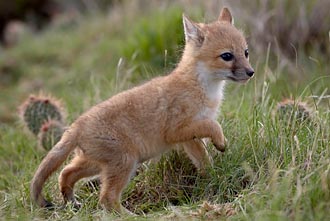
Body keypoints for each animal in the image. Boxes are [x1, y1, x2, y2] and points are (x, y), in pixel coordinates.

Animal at [30, 7, 253, 214]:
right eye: (227, 56)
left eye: (246, 52)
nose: (251, 72)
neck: (201, 86)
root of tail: (76, 126)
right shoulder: (177, 130)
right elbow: (214, 126)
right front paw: (221, 143)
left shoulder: (188, 138)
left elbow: (204, 161)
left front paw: (212, 177)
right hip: (125, 162)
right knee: (107, 198)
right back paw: (131, 215)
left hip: (97, 164)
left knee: (65, 173)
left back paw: (71, 201)